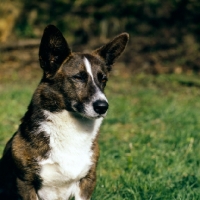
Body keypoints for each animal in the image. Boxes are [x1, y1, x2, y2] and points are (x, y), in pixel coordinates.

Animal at [0, 24, 128, 199]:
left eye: (103, 79)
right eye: (78, 77)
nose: (103, 107)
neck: (72, 127)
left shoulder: (87, 180)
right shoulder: (25, 182)